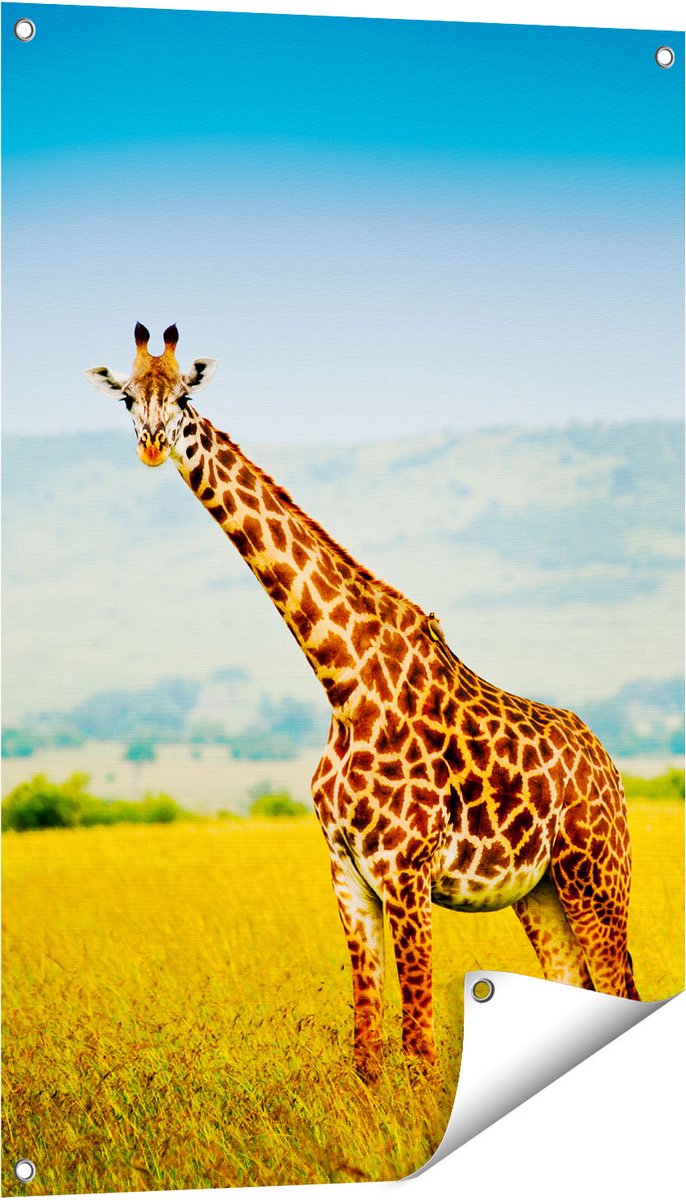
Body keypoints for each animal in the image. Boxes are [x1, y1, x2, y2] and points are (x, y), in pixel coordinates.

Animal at [85, 324, 640, 1080]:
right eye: (126, 398)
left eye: (186, 396)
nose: (150, 443)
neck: (343, 682)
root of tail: (609, 764)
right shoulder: (346, 873)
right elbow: (368, 1047)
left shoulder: (405, 871)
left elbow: (420, 1043)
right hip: (541, 889)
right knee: (574, 984)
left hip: (597, 874)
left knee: (620, 986)